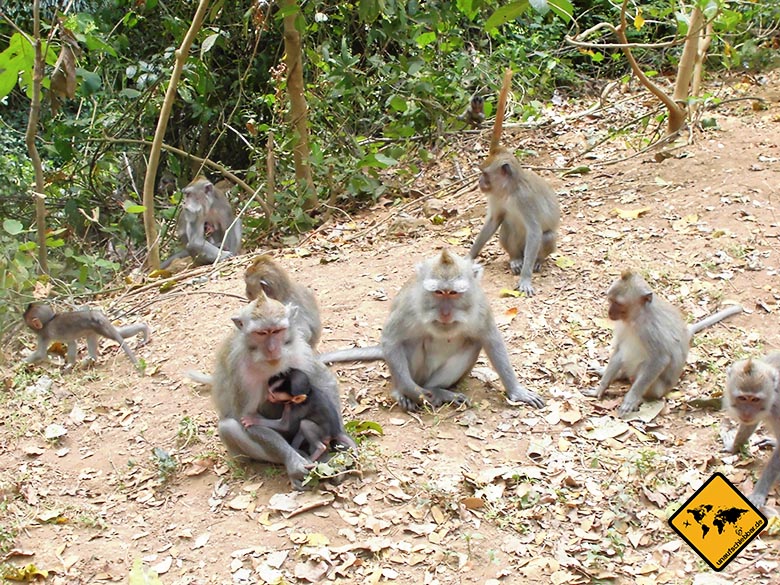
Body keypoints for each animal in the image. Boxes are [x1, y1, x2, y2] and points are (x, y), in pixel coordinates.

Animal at [210, 290, 344, 488]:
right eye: (261, 333)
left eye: (277, 331)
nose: (272, 349)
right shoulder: (240, 370)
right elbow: (245, 418)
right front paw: (293, 462)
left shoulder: (299, 348)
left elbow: (324, 381)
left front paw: (340, 436)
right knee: (228, 427)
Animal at [316, 249, 544, 412]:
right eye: (438, 292)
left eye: (453, 293)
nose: (445, 313)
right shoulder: (409, 306)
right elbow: (391, 339)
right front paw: (409, 391)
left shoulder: (480, 307)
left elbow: (490, 339)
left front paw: (516, 391)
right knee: (411, 341)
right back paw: (403, 392)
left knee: (473, 343)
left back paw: (439, 392)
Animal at [470, 69, 560, 296]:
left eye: (484, 174)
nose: (479, 181)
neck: (508, 190)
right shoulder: (494, 196)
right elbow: (493, 221)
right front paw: (468, 257)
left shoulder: (525, 198)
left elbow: (536, 232)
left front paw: (526, 279)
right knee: (506, 225)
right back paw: (515, 259)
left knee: (546, 236)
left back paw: (536, 262)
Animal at [592, 272, 744, 418]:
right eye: (610, 300)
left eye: (618, 303)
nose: (609, 312)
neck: (635, 318)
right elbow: (619, 350)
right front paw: (601, 388)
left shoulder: (651, 329)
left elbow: (660, 359)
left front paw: (631, 399)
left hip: (658, 388)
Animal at [724, 352, 780, 506]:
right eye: (742, 398)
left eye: (755, 400)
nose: (747, 413)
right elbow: (749, 424)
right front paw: (733, 447)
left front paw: (759, 492)